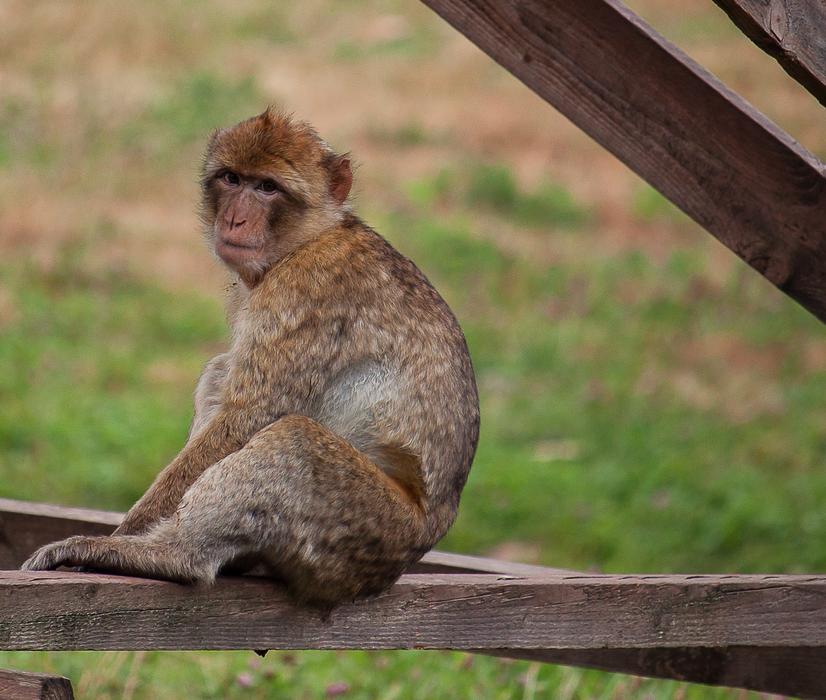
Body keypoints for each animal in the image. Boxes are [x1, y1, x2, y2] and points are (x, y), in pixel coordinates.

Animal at [21, 107, 480, 606]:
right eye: (232, 178)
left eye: (267, 187)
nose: (235, 220)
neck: (308, 240)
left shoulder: (303, 291)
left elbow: (250, 417)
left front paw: (125, 534)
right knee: (221, 372)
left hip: (363, 528)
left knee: (294, 439)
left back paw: (170, 555)